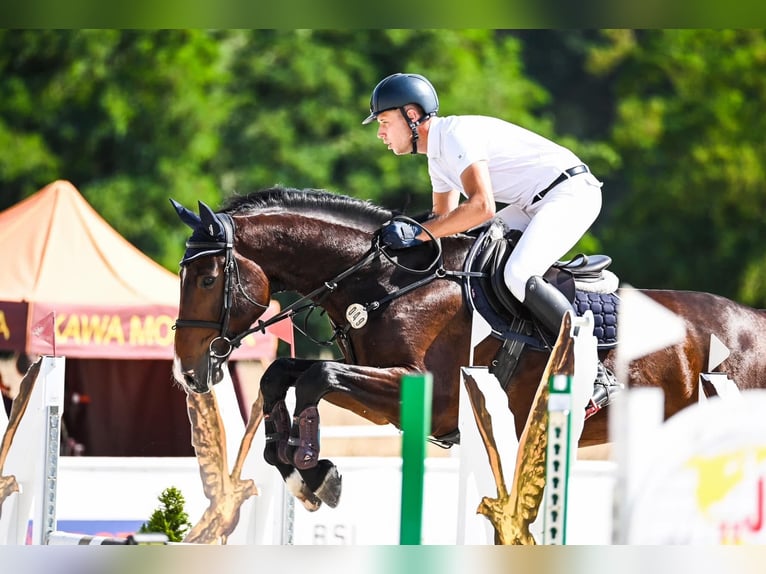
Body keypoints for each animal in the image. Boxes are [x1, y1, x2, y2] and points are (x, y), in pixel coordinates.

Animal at [172, 188, 766, 512]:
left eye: (206, 278)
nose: (187, 372)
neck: (387, 282)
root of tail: (753, 322)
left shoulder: (428, 394)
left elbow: (317, 378)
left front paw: (315, 473)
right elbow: (281, 375)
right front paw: (296, 467)